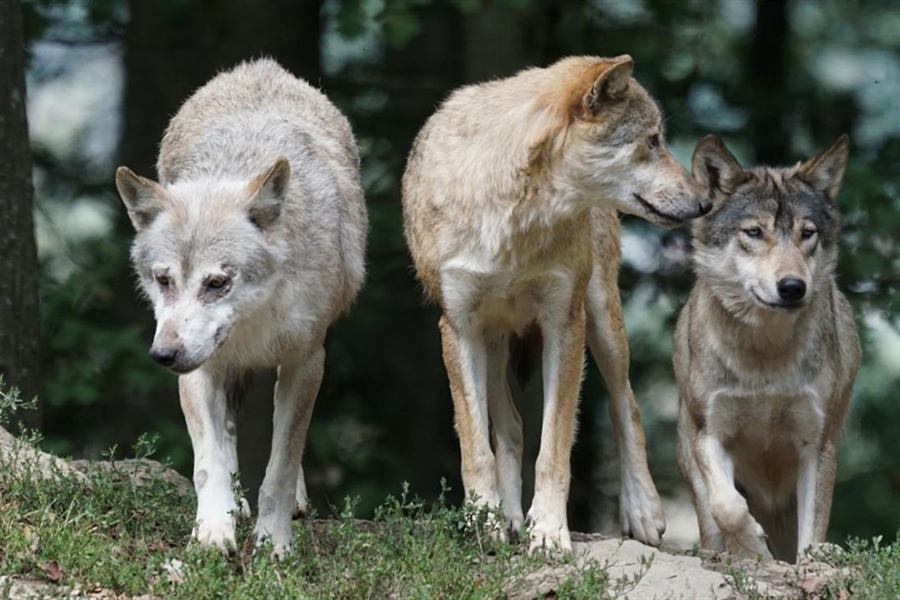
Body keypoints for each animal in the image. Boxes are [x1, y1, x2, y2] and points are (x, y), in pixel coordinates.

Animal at [114, 58, 368, 556]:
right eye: (164, 280)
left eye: (217, 283)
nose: (163, 355)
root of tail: (258, 66)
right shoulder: (199, 369)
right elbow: (208, 462)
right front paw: (214, 531)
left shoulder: (307, 361)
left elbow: (282, 465)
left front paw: (274, 542)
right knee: (228, 432)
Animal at [400, 54, 712, 552]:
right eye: (652, 141)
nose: (705, 202)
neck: (515, 218)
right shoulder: (458, 327)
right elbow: (476, 447)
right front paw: (485, 522)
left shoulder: (564, 323)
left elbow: (555, 448)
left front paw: (547, 531)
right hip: (492, 341)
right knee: (510, 427)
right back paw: (507, 519)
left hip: (602, 320)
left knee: (626, 405)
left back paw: (642, 512)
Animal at [680, 135, 860, 564]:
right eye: (754, 232)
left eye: (807, 233)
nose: (793, 287)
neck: (765, 354)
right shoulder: (709, 433)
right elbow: (728, 506)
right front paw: (751, 549)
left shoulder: (817, 444)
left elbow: (812, 533)